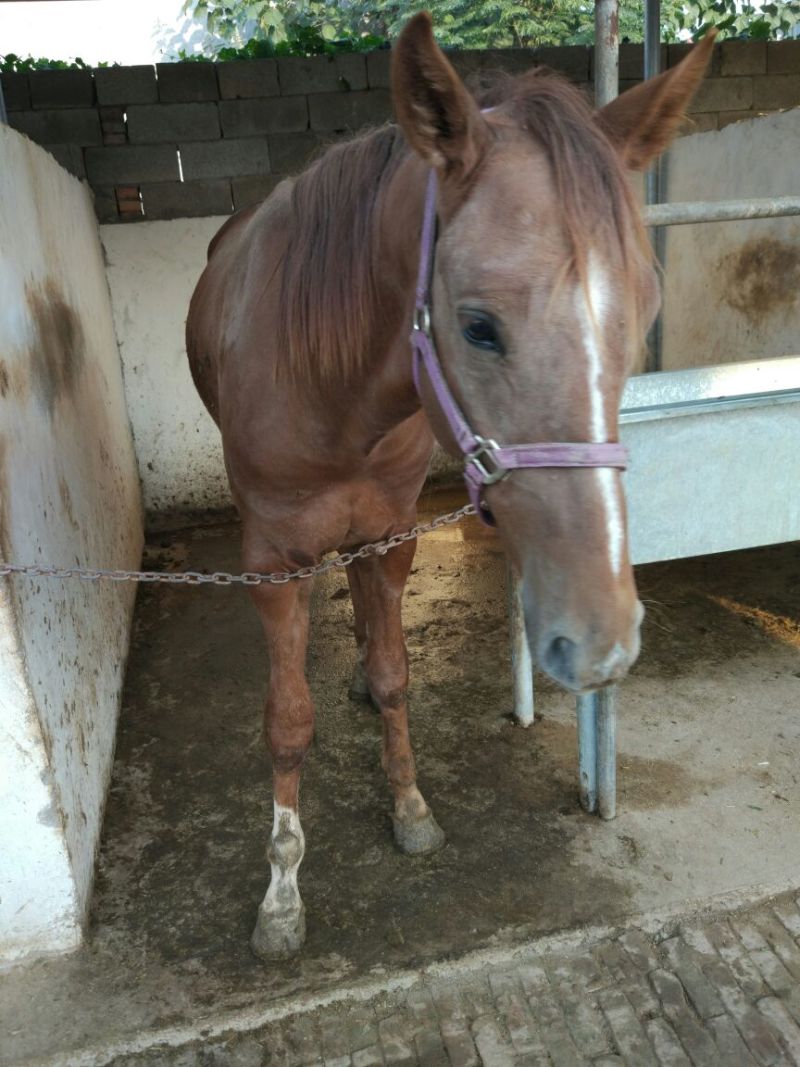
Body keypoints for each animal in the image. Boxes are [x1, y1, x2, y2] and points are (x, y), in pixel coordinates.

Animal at [186, 13, 713, 959]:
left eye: (643, 314)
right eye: (478, 325)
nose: (602, 643)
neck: (331, 386)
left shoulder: (390, 530)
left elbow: (397, 672)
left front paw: (409, 805)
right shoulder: (272, 563)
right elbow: (287, 720)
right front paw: (281, 892)